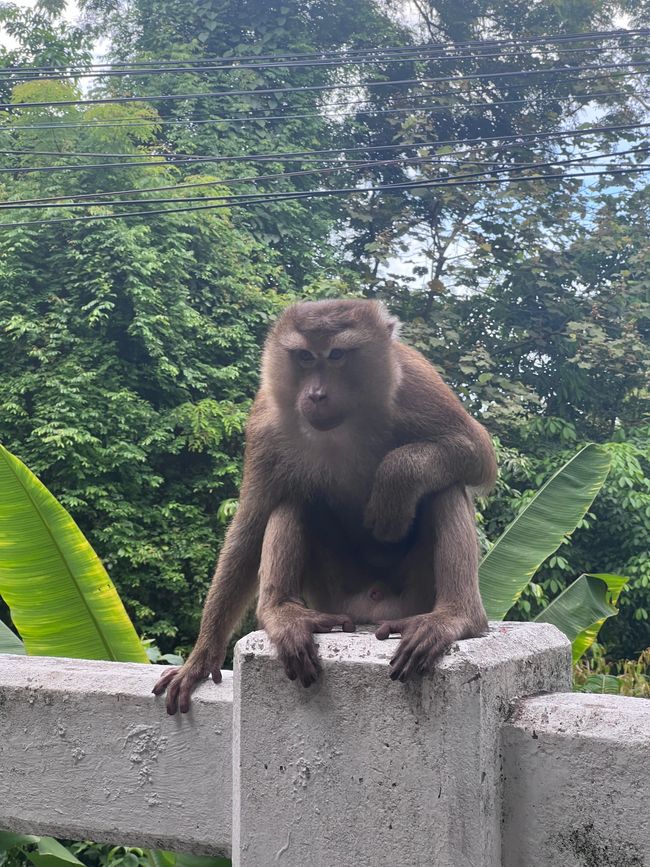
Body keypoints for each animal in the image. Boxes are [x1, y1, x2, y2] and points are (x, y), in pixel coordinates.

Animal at [153, 299, 497, 714]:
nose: (315, 395)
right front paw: (200, 659)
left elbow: (477, 453)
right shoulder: (266, 422)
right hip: (334, 597)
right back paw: (281, 613)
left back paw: (458, 617)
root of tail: (371, 612)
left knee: (444, 487)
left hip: (411, 599)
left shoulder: (416, 380)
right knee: (293, 497)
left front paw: (395, 483)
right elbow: (250, 528)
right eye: (304, 357)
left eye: (336, 355)